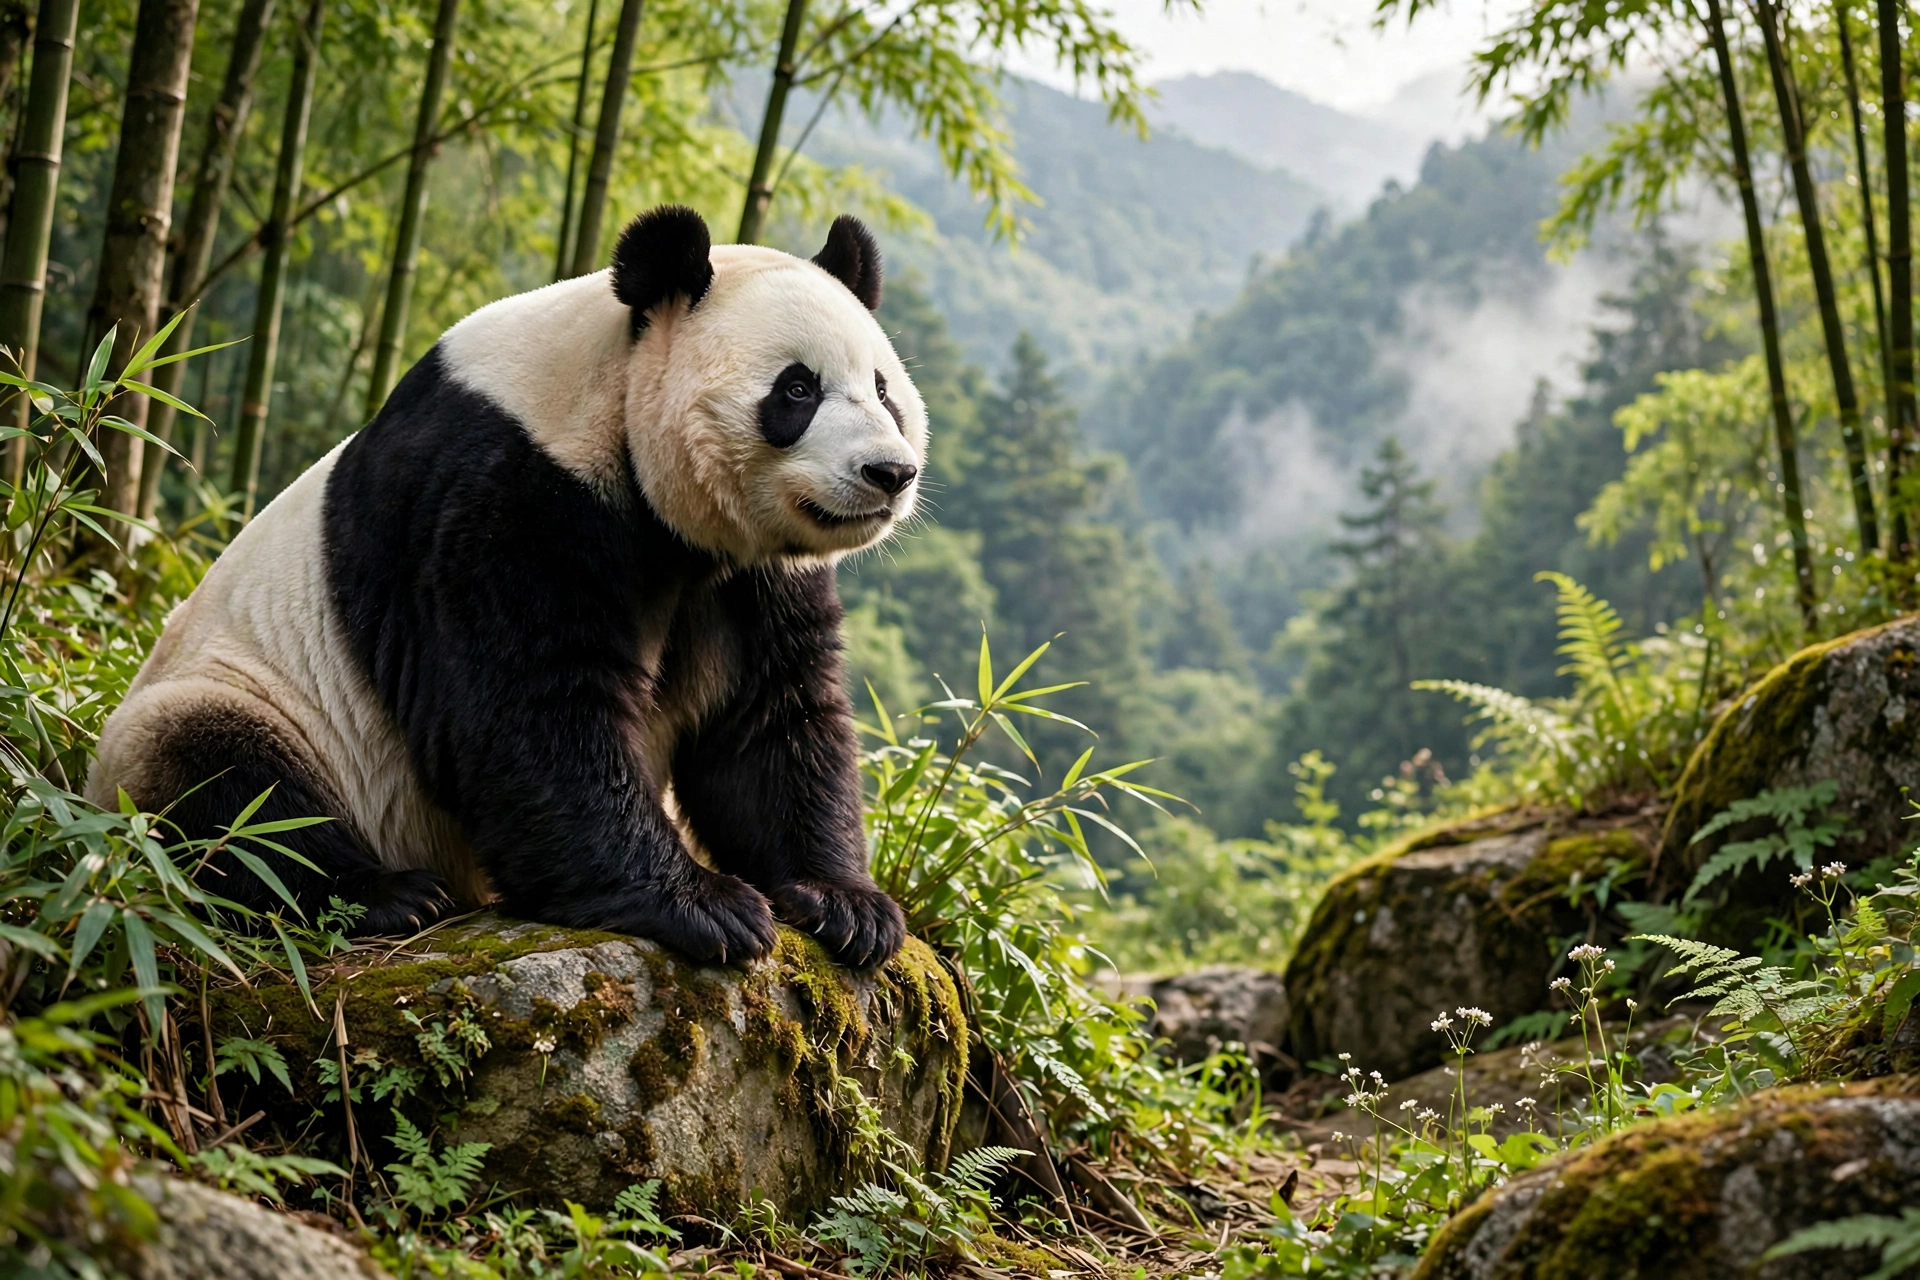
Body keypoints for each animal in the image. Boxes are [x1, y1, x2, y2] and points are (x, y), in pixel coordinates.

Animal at [86, 206, 924, 969]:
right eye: (797, 390)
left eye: (883, 390)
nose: (890, 472)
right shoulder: (500, 491)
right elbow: (528, 709)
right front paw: (705, 907)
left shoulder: (748, 575)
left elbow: (771, 722)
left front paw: (846, 905)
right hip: (234, 702)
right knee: (229, 792)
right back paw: (386, 894)